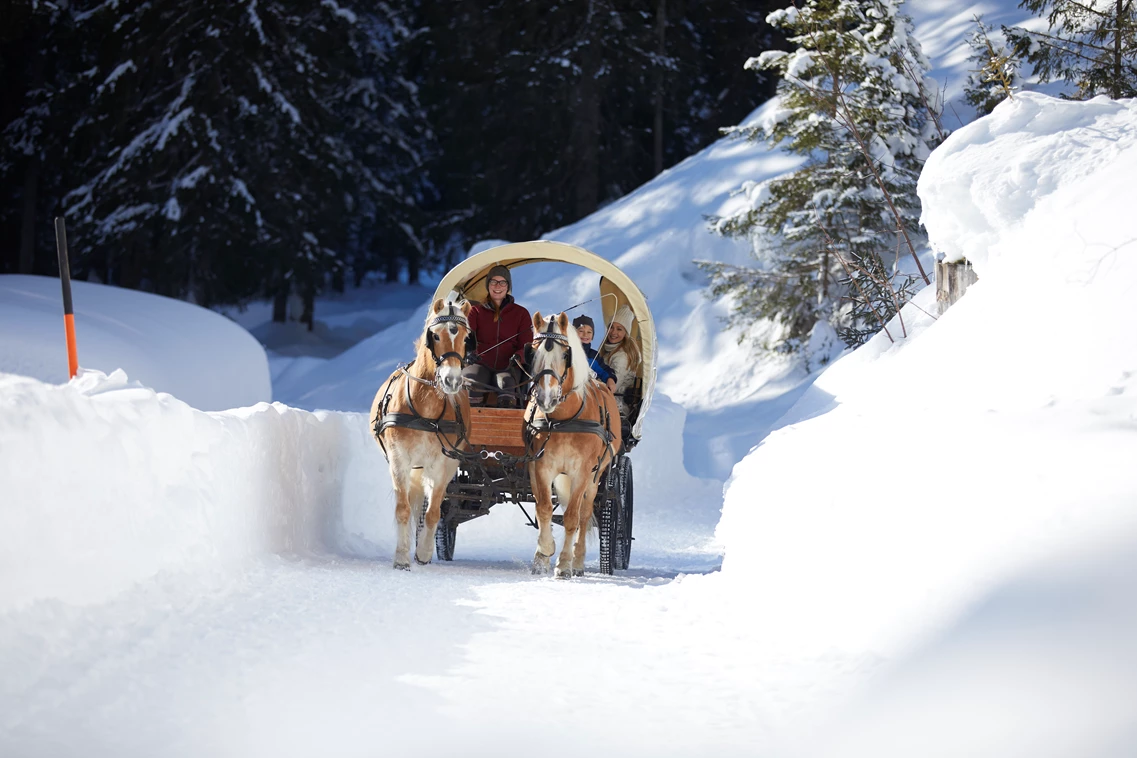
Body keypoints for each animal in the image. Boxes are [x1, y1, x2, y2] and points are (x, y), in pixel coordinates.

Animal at [370, 295, 472, 568]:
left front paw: (424, 552)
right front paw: (402, 557)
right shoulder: (399, 460)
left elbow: (434, 511)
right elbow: (403, 508)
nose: (452, 381)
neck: (425, 410)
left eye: (466, 338)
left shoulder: (444, 463)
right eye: (435, 335)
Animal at [525, 311, 623, 577]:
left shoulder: (582, 471)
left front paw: (564, 565)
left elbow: (572, 517)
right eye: (533, 352)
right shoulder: (542, 466)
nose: (546, 398)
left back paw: (577, 563)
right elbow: (544, 508)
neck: (563, 419)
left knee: (584, 514)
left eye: (565, 354)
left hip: (596, 476)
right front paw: (544, 553)